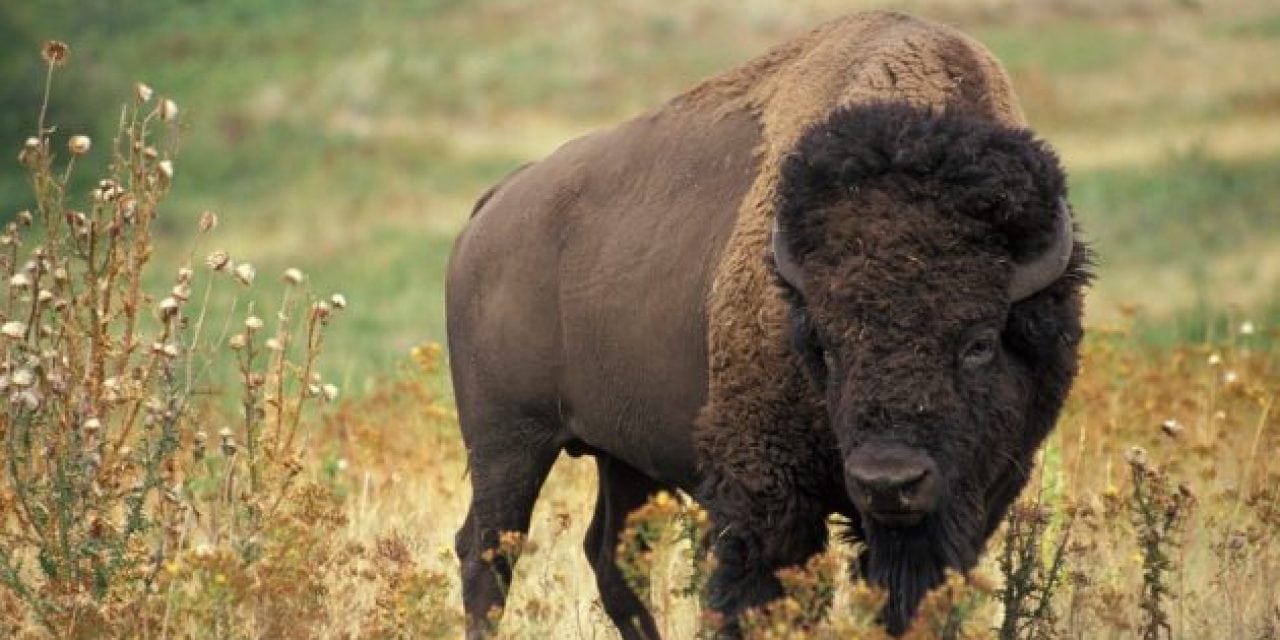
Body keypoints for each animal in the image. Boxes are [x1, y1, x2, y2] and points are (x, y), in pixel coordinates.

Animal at [445, 7, 1085, 637]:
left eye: (979, 343)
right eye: (824, 344)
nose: (889, 481)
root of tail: (494, 205)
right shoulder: (766, 488)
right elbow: (755, 592)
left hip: (620, 455)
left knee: (611, 558)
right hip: (508, 441)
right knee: (488, 552)